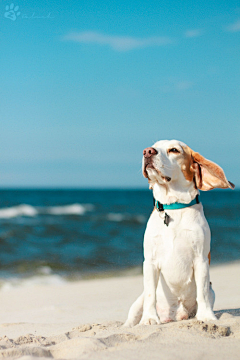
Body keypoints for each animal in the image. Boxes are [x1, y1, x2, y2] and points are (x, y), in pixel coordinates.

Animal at [124, 139, 233, 326]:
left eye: (174, 150)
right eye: (153, 146)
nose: (147, 152)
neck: (174, 207)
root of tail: (175, 316)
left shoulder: (201, 260)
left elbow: (202, 293)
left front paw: (206, 317)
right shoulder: (150, 261)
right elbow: (150, 295)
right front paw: (149, 319)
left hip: (212, 290)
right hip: (138, 301)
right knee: (134, 314)